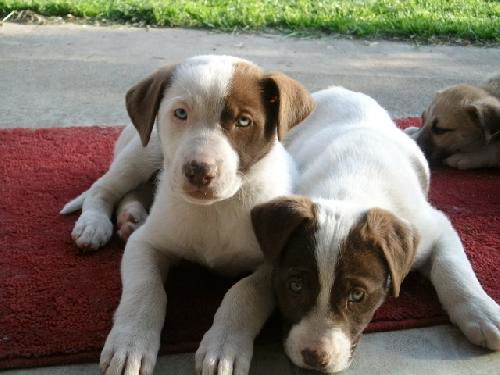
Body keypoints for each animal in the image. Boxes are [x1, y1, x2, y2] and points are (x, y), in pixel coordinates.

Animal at [61, 53, 312, 375]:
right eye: (180, 113)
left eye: (243, 121)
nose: (199, 171)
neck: (215, 209)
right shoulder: (146, 244)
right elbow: (146, 289)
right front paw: (129, 344)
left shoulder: (275, 262)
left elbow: (245, 292)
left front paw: (224, 347)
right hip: (145, 152)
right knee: (103, 188)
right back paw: (94, 224)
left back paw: (130, 218)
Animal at [197, 86, 498, 374]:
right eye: (295, 286)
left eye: (357, 296)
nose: (314, 356)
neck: (350, 193)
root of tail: (339, 90)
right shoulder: (276, 253)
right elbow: (246, 288)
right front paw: (224, 343)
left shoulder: (435, 227)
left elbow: (454, 269)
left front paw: (482, 312)